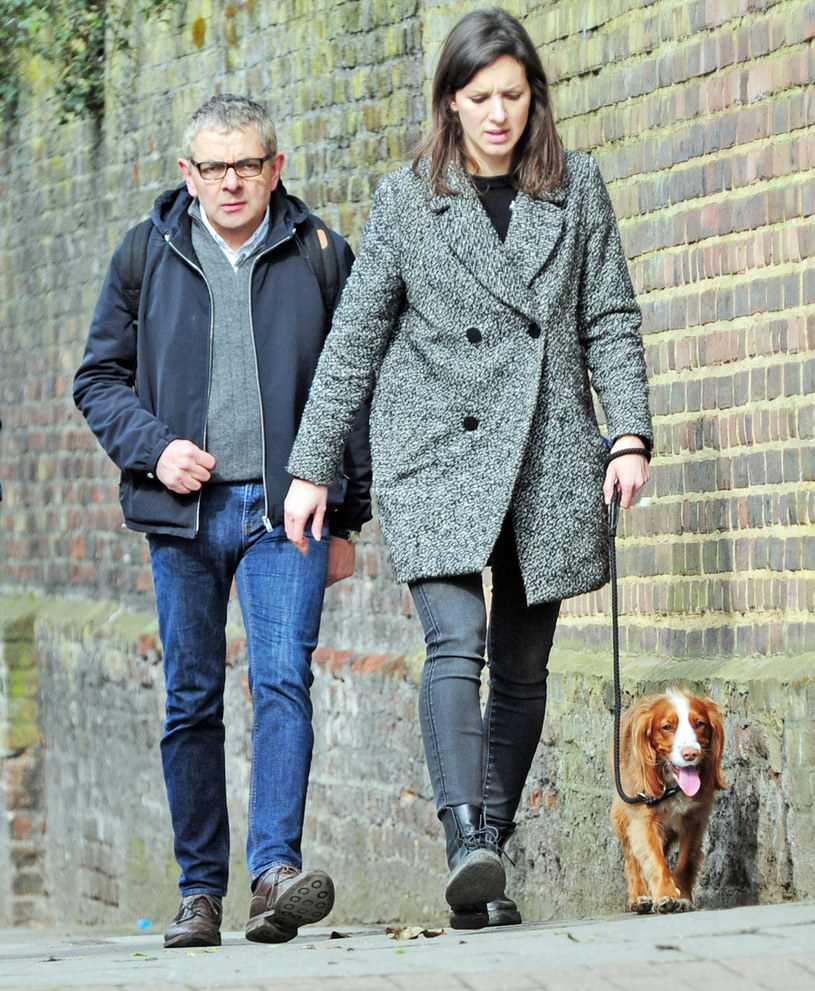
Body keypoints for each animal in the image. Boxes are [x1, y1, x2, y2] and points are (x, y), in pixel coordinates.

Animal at [612, 688, 728, 916]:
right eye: (667, 727)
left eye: (700, 723)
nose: (690, 753)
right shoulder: (643, 819)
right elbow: (654, 860)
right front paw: (666, 895)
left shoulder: (695, 819)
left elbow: (685, 861)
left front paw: (682, 896)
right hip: (621, 813)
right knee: (631, 858)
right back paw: (639, 896)